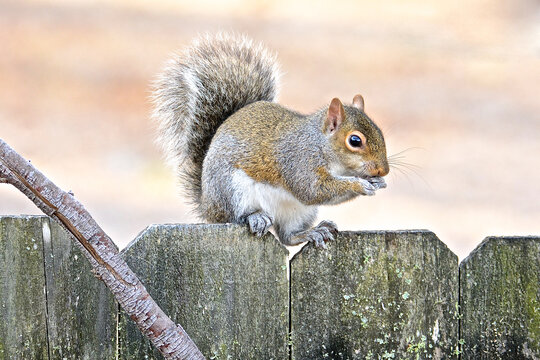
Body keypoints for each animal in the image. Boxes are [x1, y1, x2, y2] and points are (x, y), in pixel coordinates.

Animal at [152, 33, 388, 248]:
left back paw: (313, 232)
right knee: (237, 217)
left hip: (298, 212)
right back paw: (255, 217)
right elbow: (313, 190)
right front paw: (359, 184)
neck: (319, 144)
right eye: (355, 141)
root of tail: (207, 205)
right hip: (232, 190)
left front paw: (377, 183)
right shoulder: (299, 162)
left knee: (288, 236)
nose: (383, 170)